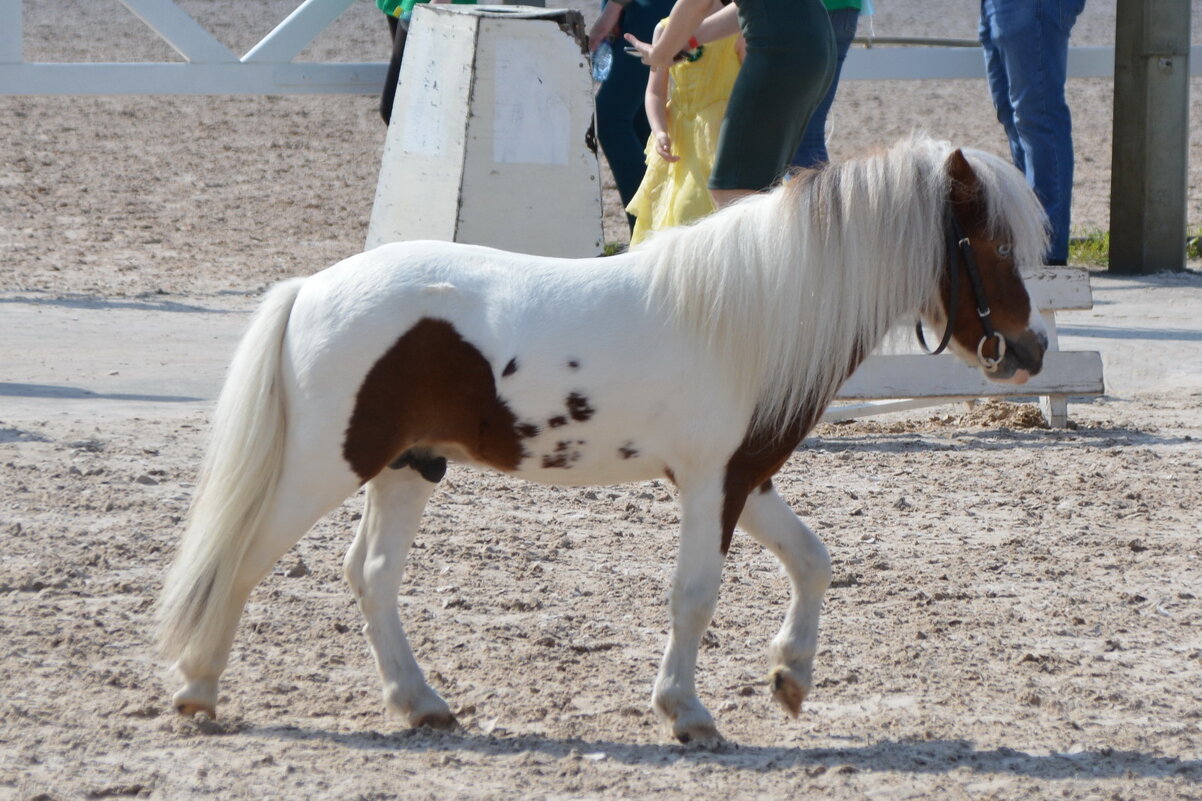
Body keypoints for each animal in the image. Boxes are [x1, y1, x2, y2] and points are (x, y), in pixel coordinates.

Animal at [162, 135, 1052, 740]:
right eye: (994, 245)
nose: (1034, 348)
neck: (752, 312)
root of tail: (311, 288)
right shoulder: (710, 483)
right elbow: (694, 595)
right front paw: (687, 710)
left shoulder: (746, 477)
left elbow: (813, 559)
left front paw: (790, 676)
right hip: (325, 466)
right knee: (241, 557)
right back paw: (200, 689)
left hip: (408, 467)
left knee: (371, 575)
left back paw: (421, 703)